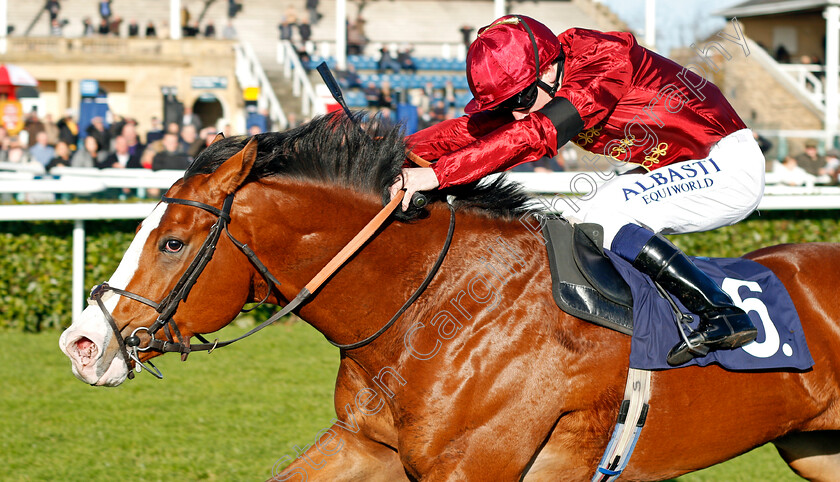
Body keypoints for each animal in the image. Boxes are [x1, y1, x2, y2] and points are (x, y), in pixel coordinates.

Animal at [60, 114, 840, 482]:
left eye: (173, 243)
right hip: (815, 449)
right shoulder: (366, 444)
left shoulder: (474, 466)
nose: (82, 343)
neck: (433, 311)